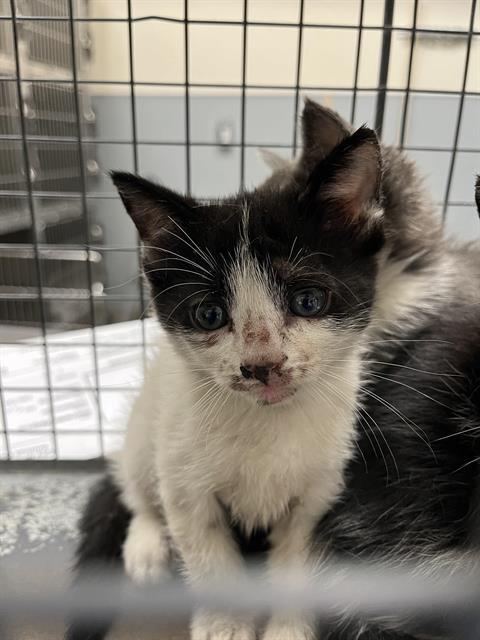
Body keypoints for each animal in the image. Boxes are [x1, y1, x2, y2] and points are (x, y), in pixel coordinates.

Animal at [66, 100, 480, 640]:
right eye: (209, 314)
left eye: (308, 301)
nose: (263, 366)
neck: (268, 425)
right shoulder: (188, 493)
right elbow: (209, 559)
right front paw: (225, 626)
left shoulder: (319, 499)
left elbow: (301, 563)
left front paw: (288, 628)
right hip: (146, 427)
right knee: (134, 487)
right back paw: (146, 545)